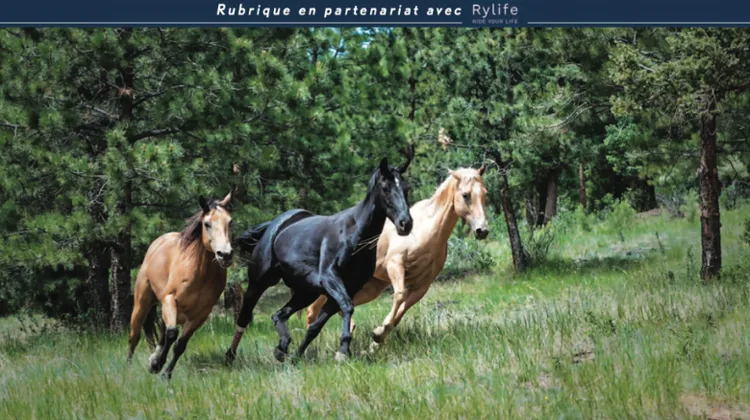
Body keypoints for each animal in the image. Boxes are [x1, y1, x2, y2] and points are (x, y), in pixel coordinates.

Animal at [127, 191, 234, 379]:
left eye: (230, 222)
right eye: (207, 224)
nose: (225, 254)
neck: (200, 273)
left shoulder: (201, 314)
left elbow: (180, 344)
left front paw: (164, 373)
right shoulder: (170, 299)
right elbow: (172, 334)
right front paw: (157, 365)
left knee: (163, 331)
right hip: (142, 304)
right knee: (135, 336)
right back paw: (128, 369)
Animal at [225, 155, 414, 364]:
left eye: (406, 188)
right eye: (386, 188)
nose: (405, 223)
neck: (354, 234)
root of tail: (275, 225)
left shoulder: (346, 288)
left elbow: (316, 326)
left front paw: (297, 357)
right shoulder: (330, 278)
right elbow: (347, 307)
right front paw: (342, 351)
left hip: (306, 292)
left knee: (279, 315)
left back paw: (282, 348)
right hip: (258, 283)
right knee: (243, 318)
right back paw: (230, 357)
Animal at [305, 166, 488, 349]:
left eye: (484, 193)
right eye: (465, 195)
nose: (482, 230)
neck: (426, 231)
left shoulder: (422, 285)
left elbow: (402, 311)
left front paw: (377, 338)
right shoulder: (395, 265)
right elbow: (399, 296)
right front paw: (378, 334)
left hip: (369, 288)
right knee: (313, 311)